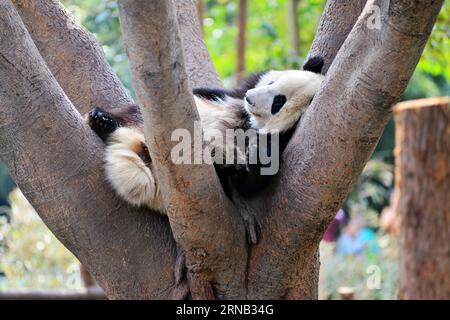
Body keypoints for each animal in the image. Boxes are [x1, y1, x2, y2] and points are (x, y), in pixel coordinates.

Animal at [85, 57, 324, 212]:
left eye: (278, 102)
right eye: (272, 82)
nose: (250, 98)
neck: (248, 120)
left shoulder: (280, 141)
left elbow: (252, 183)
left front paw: (251, 156)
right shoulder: (231, 95)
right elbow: (205, 92)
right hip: (142, 123)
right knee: (130, 114)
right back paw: (103, 122)